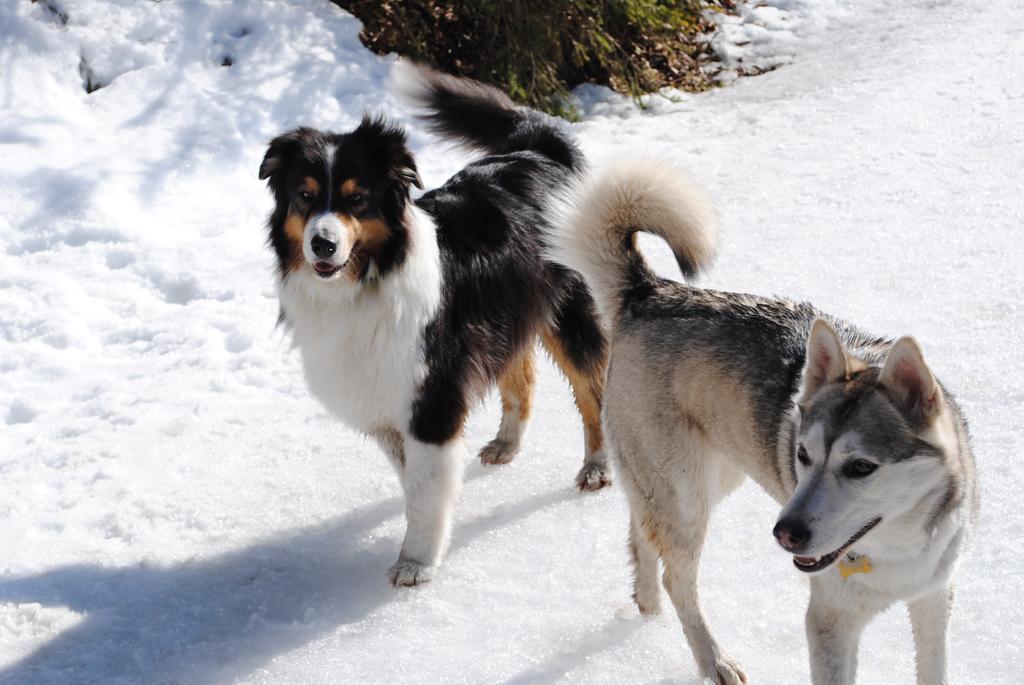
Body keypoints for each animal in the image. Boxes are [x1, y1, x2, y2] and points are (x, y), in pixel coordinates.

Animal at [258, 66, 606, 585]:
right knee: (521, 374)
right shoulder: (391, 397)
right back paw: (506, 444)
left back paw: (598, 468)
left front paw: (416, 562)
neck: (369, 277)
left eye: (357, 199)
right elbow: (416, 482)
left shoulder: (432, 397)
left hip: (570, 309)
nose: (322, 245)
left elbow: (425, 492)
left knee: (593, 389)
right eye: (304, 196)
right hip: (506, 315)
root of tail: (541, 150)